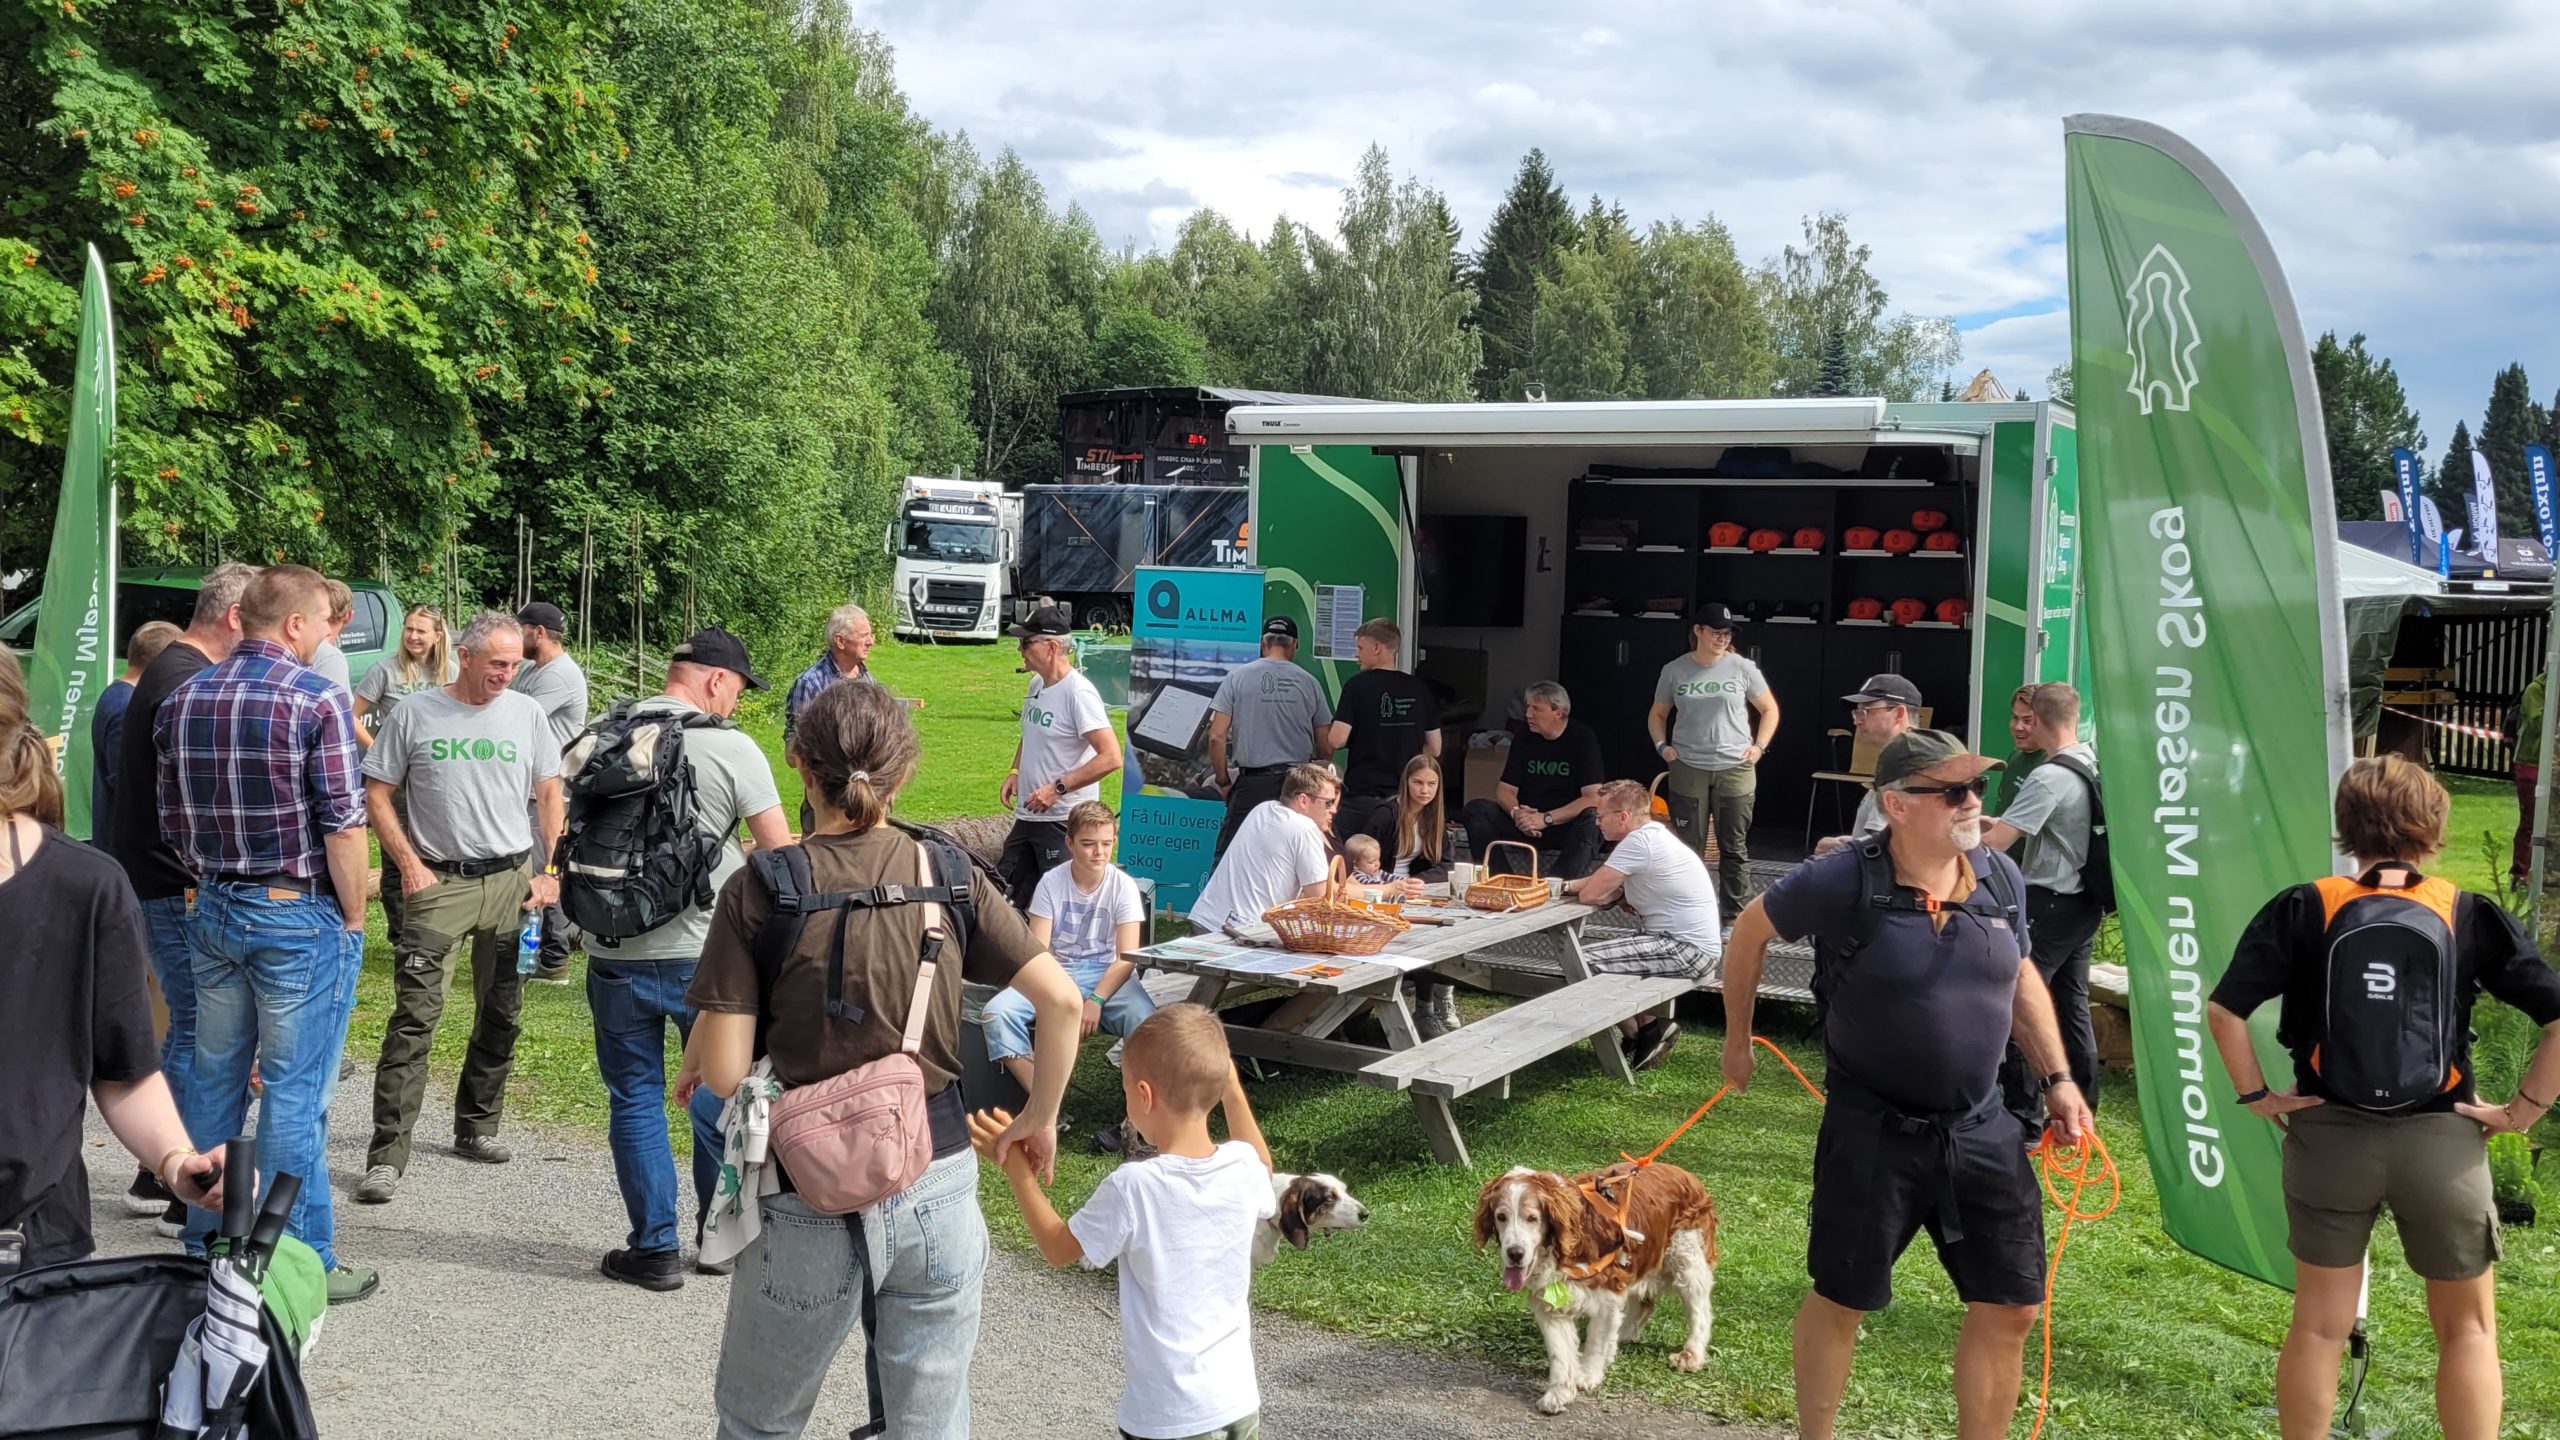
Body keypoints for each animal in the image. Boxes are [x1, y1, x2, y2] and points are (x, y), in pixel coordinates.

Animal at [1484, 1158, 1720, 1404]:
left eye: (1532, 1218)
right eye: (1501, 1217)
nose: (1515, 1253)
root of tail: (1685, 1173)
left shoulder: (1608, 1294)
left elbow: (1596, 1341)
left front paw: (1588, 1375)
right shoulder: (1549, 1299)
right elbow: (1560, 1350)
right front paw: (1558, 1392)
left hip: (1688, 1258)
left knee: (1700, 1312)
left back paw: (1692, 1355)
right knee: (1642, 1304)